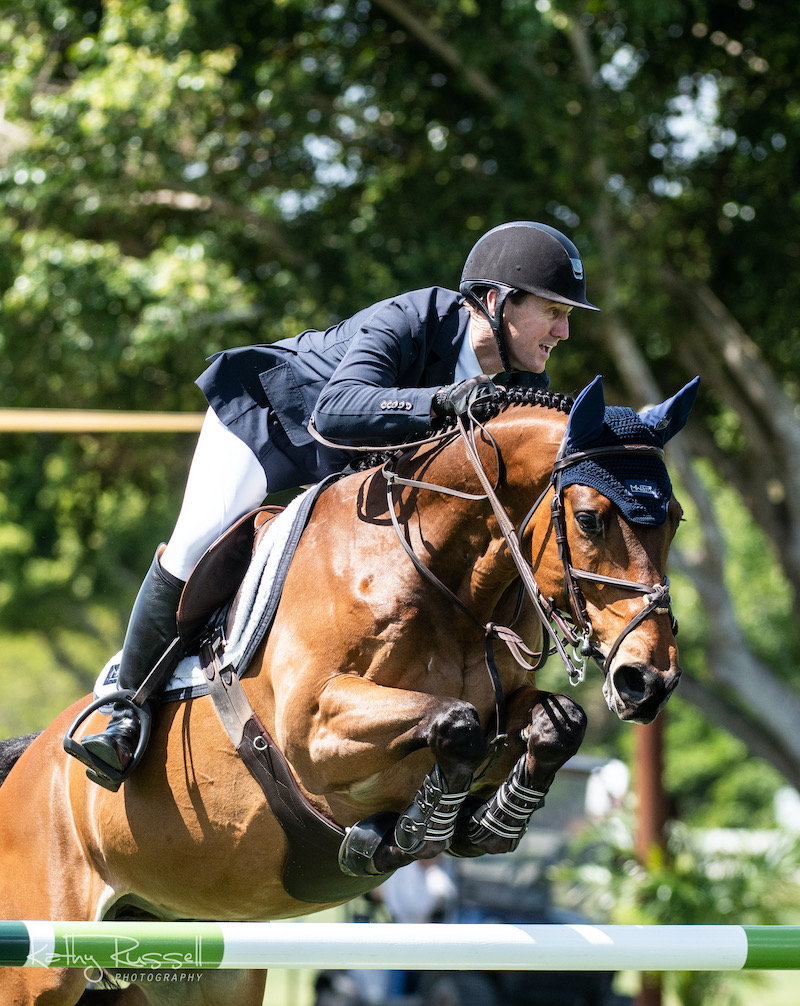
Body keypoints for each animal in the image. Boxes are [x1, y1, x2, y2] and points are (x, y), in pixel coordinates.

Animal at [0, 376, 696, 1006]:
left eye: (676, 519)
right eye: (589, 519)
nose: (648, 680)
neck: (437, 576)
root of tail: (28, 764)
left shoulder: (506, 699)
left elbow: (558, 723)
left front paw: (485, 824)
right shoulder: (313, 728)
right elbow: (456, 722)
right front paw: (412, 830)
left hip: (198, 967)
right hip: (38, 974)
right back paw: (112, 738)